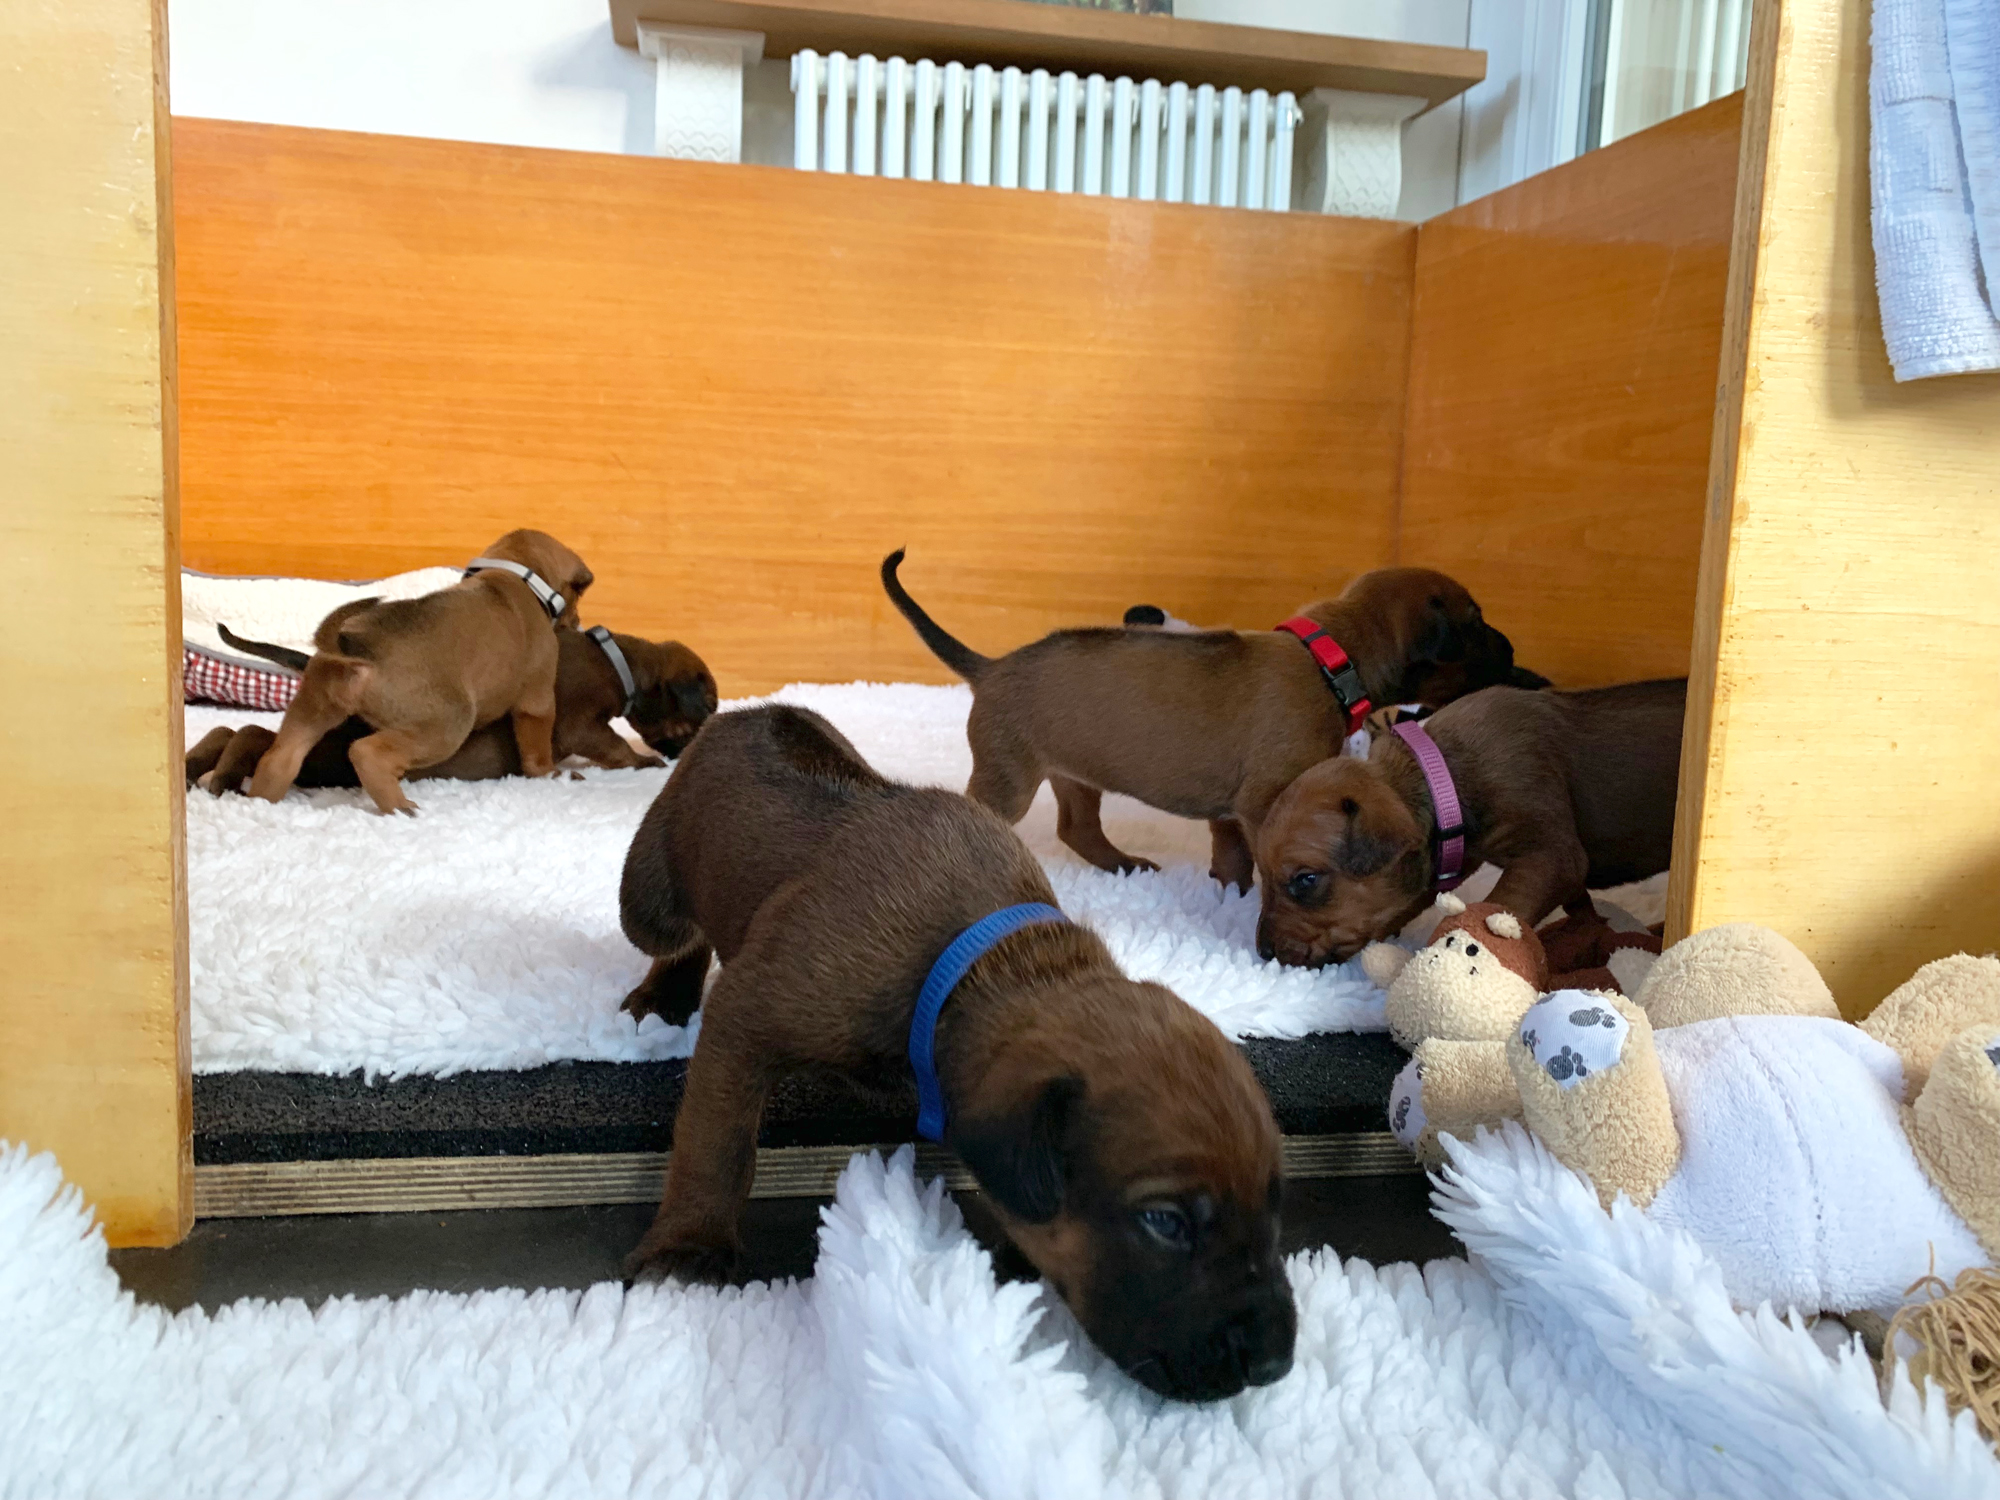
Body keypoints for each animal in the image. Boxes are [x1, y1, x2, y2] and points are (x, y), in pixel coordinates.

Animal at [188, 625, 717, 793]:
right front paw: (644, 761)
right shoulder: (580, 723)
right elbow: (611, 746)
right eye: (709, 707)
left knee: (231, 731)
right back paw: (223, 777)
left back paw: (198, 769)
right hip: (333, 756)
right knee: (254, 737)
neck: (620, 660)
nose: (690, 755)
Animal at [244, 530, 593, 815]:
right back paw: (398, 806)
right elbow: (537, 752)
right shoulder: (536, 702)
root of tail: (356, 644)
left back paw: (260, 802)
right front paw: (552, 773)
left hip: (314, 707)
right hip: (446, 725)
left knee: (280, 760)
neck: (515, 574)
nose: (577, 622)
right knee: (367, 753)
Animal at [616, 703, 1295, 1403]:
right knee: (677, 935)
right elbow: (716, 1144)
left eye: (1275, 1204)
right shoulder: (747, 1018)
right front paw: (689, 1248)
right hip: (648, 897)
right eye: (1165, 1222)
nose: (1274, 1365)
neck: (980, 962)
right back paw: (665, 996)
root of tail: (751, 713)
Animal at [883, 550, 1521, 890]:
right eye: (1477, 622)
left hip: (1075, 775)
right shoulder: (1263, 800)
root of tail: (989, 667)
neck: (1329, 658)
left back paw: (1125, 867)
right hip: (1009, 777)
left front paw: (1226, 894)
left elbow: (1233, 856)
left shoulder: (1233, 811)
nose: (1515, 651)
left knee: (1078, 829)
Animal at [1253, 678, 1687, 968]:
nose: (1262, 953)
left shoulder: (1548, 856)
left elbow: (1501, 903)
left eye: (1306, 880)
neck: (1443, 776)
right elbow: (1581, 908)